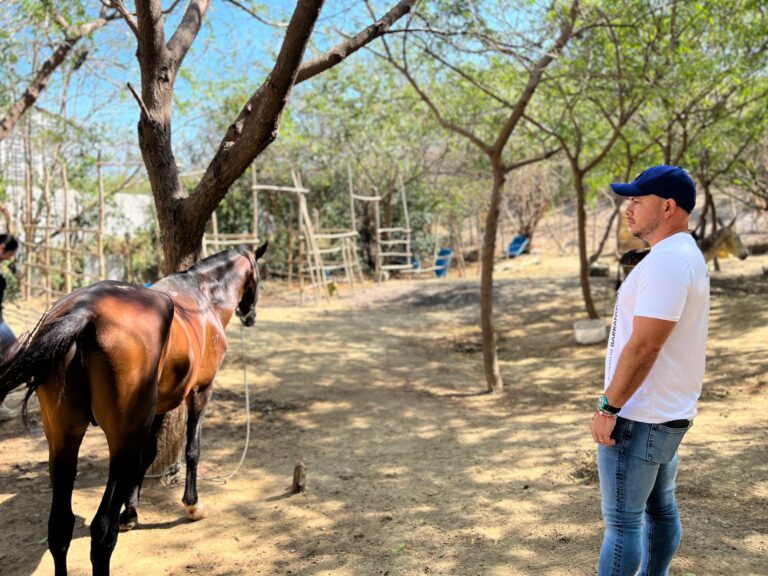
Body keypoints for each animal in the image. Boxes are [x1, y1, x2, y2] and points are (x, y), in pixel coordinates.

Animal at [0, 244, 268, 576]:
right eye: (258, 277)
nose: (251, 315)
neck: (202, 295)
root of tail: (85, 309)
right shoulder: (200, 392)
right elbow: (192, 449)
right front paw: (191, 504)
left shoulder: (156, 409)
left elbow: (148, 455)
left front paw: (131, 511)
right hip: (122, 437)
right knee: (102, 531)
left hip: (63, 439)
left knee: (60, 527)